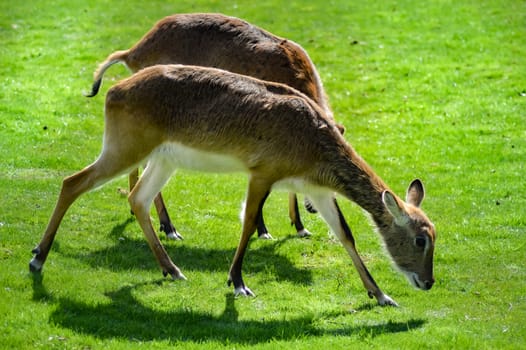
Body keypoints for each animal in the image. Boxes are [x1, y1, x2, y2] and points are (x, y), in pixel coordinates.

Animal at [31, 65, 440, 306]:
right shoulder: (262, 173)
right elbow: (248, 224)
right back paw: (37, 259)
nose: (428, 282)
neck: (313, 139)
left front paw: (381, 295)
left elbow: (345, 234)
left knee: (137, 199)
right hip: (125, 149)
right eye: (420, 240)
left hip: (163, 160)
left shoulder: (318, 191)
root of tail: (114, 91)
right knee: (72, 182)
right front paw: (239, 283)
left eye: (435, 234)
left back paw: (172, 269)